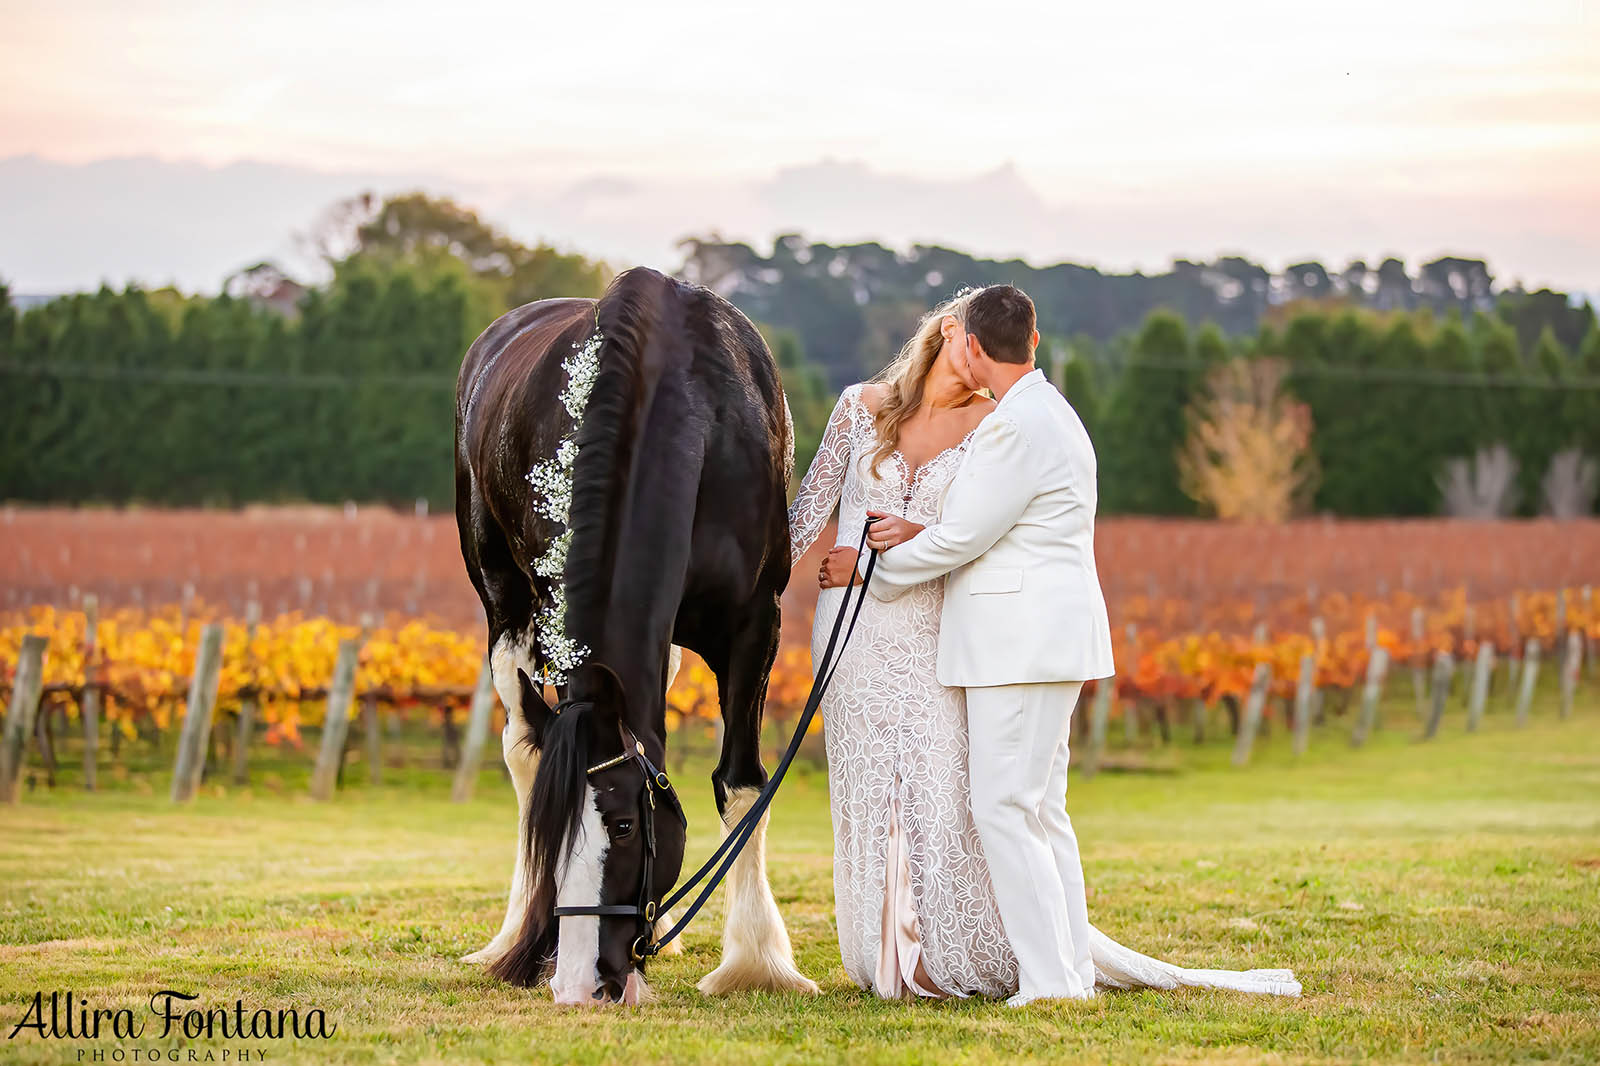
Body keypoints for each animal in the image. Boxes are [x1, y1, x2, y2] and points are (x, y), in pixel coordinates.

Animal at [454, 267, 812, 1005]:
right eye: (550, 838)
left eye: (623, 826)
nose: (583, 983)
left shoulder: (754, 622)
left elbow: (742, 784)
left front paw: (756, 962)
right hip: (503, 606)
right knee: (522, 749)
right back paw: (512, 937)